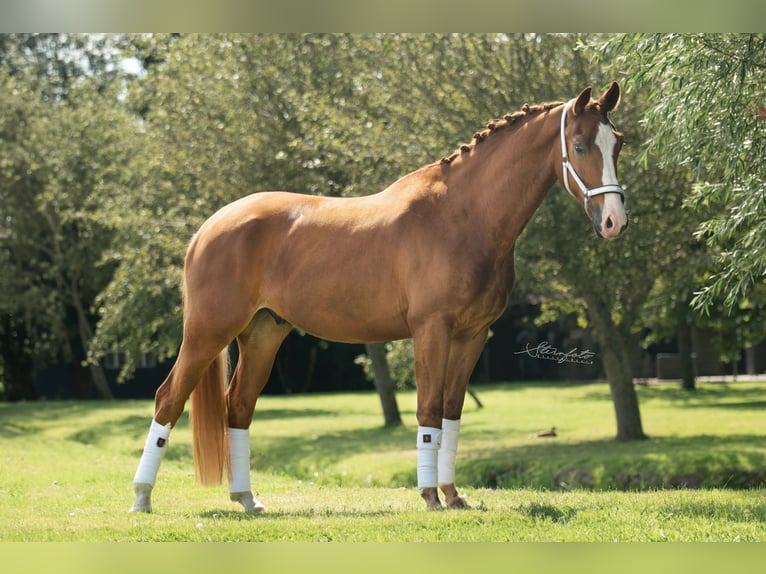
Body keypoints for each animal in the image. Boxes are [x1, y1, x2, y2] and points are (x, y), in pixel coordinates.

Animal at [129, 81, 628, 512]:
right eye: (579, 145)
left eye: (618, 143)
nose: (615, 222)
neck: (462, 216)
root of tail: (208, 227)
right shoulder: (431, 331)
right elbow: (428, 411)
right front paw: (429, 496)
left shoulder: (472, 336)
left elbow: (451, 413)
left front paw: (453, 495)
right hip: (207, 332)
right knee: (168, 398)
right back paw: (142, 498)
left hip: (263, 334)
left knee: (239, 407)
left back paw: (247, 500)